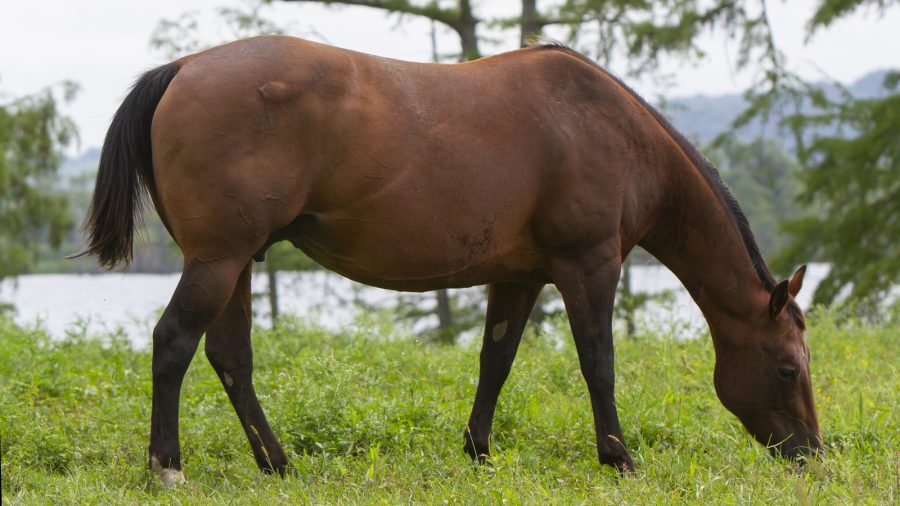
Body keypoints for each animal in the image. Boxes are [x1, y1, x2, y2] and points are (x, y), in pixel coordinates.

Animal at [78, 36, 822, 485]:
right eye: (787, 369)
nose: (812, 456)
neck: (610, 130)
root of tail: (181, 69)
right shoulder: (589, 266)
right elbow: (599, 364)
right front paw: (619, 458)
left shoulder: (519, 276)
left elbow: (497, 361)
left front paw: (478, 451)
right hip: (217, 261)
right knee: (173, 343)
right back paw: (168, 468)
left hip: (235, 264)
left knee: (230, 358)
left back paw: (278, 464)